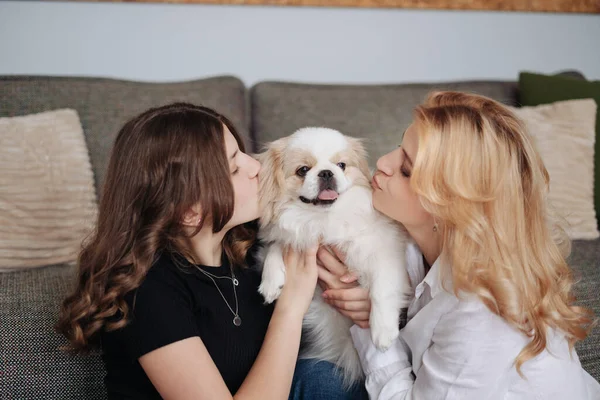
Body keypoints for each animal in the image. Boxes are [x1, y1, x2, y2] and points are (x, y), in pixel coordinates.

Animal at [253, 128, 412, 388]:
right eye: (303, 170)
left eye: (341, 165)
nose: (327, 172)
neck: (322, 221)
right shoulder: (296, 236)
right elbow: (277, 246)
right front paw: (271, 282)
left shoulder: (385, 250)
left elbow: (383, 290)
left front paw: (383, 332)